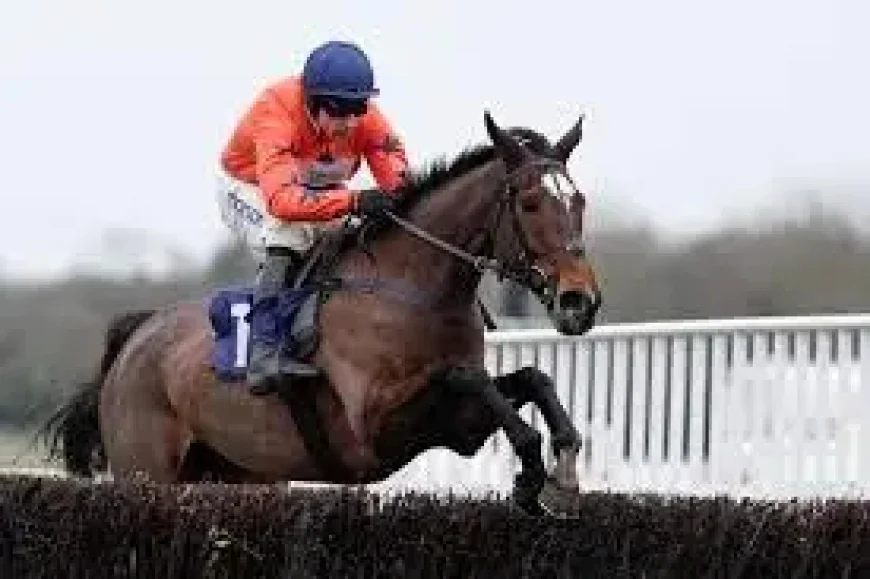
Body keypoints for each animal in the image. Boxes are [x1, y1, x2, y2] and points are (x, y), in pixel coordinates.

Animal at [40, 110, 602, 515]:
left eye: (579, 202)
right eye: (529, 203)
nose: (580, 300)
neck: (413, 290)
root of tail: (136, 335)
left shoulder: (456, 426)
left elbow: (530, 379)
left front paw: (563, 473)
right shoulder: (374, 427)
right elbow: (469, 378)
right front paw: (533, 473)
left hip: (244, 475)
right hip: (147, 473)